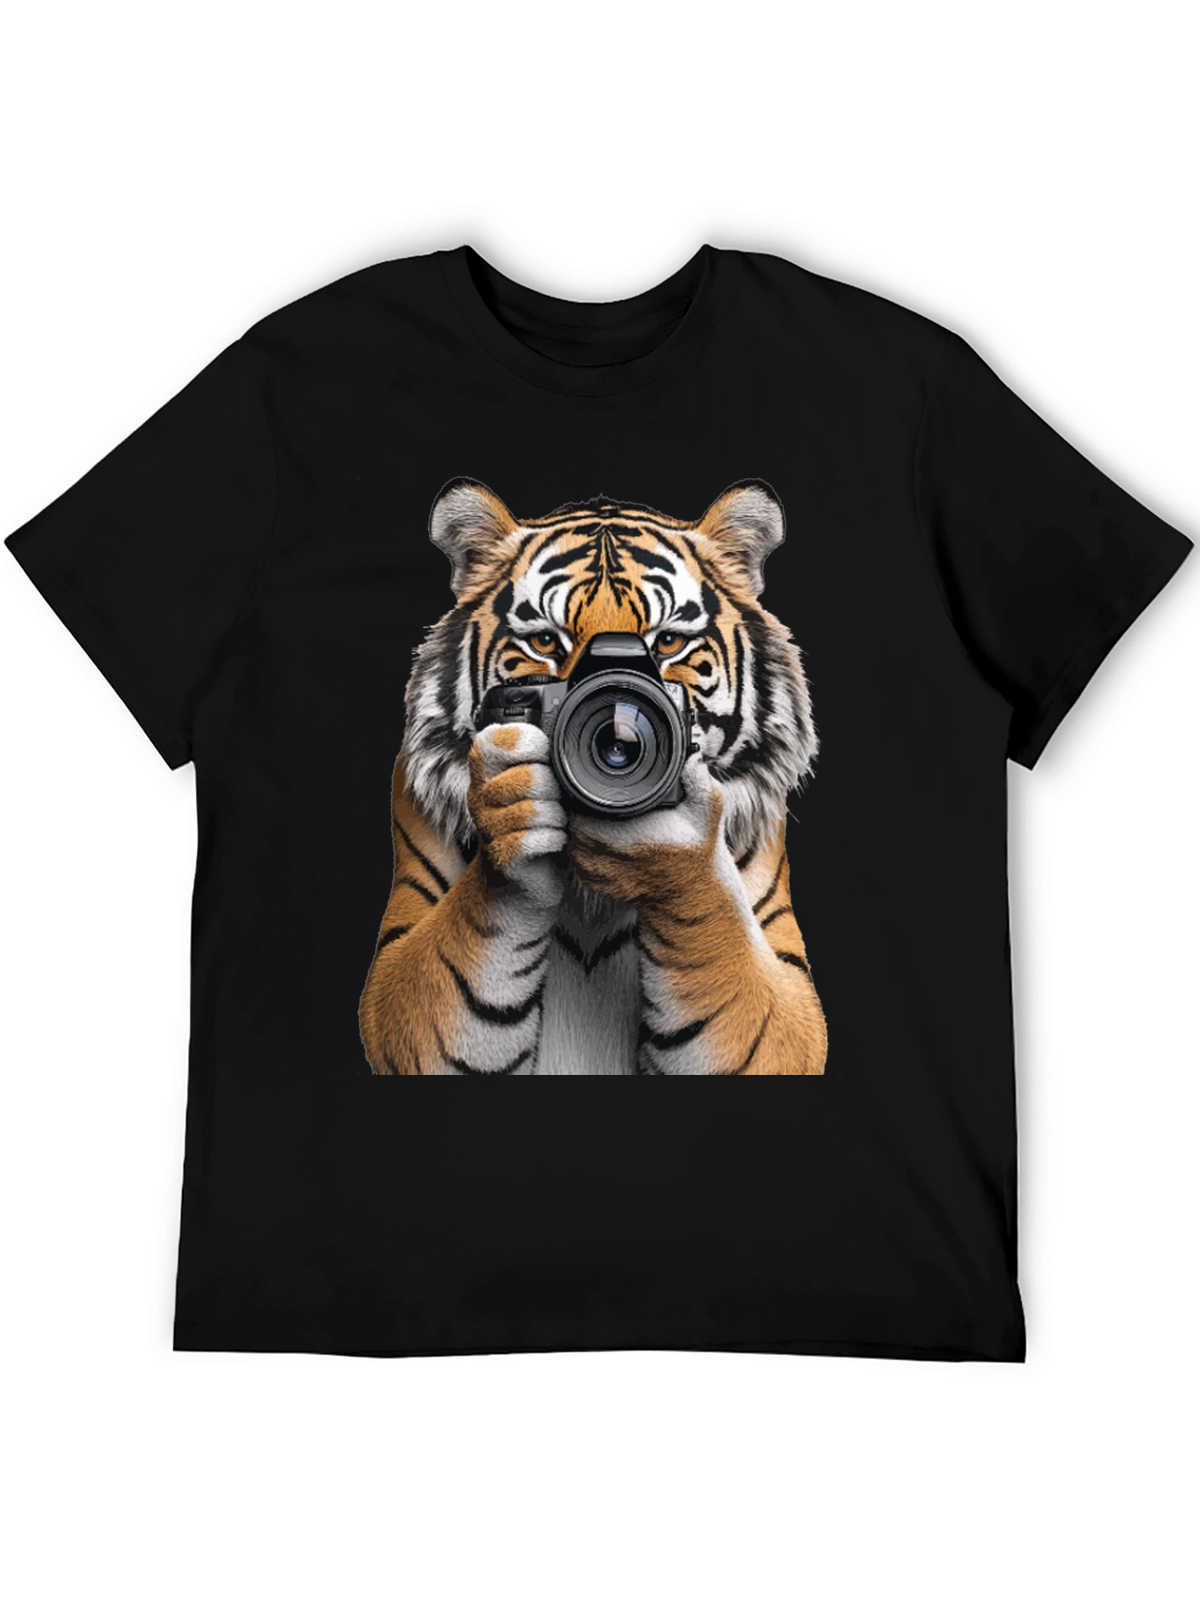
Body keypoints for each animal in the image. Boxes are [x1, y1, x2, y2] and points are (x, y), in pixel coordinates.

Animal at [358, 484, 828, 1076]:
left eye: (669, 642)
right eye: (543, 642)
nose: (619, 743)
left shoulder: (788, 1008)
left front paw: (675, 865)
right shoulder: (397, 988)